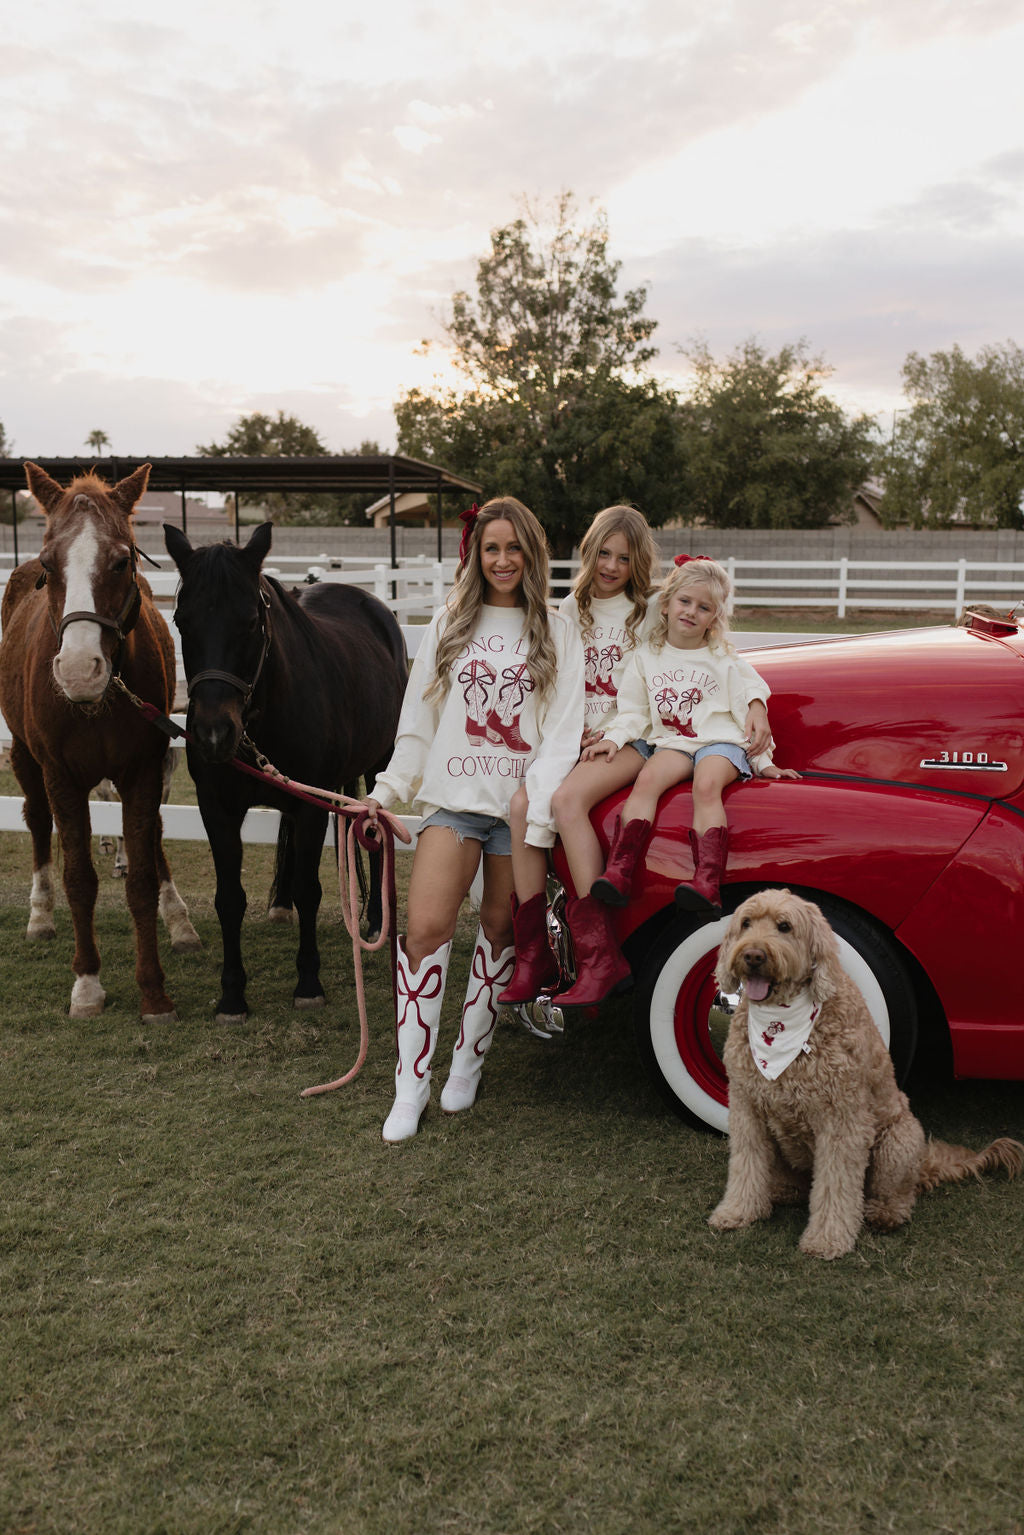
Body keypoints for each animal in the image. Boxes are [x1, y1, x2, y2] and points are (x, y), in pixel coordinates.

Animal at [0, 460, 199, 1025]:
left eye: (121, 561)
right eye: (49, 564)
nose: (77, 670)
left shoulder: (144, 769)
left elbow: (140, 876)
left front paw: (153, 992)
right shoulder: (60, 776)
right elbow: (79, 879)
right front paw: (87, 985)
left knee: (154, 836)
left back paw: (179, 921)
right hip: (24, 757)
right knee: (36, 821)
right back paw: (40, 915)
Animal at [165, 524, 408, 1019]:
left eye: (250, 622)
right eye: (182, 622)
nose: (214, 732)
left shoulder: (309, 806)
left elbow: (308, 889)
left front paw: (309, 983)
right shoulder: (216, 808)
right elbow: (229, 898)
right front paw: (232, 995)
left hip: (379, 763)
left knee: (373, 836)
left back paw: (376, 922)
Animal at [709, 890, 1019, 1258]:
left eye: (784, 926)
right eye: (746, 923)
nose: (753, 955)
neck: (782, 1024)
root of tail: (924, 1163)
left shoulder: (841, 1121)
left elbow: (836, 1185)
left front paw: (827, 1239)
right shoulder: (747, 1109)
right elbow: (746, 1166)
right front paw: (737, 1212)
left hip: (898, 1142)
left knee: (900, 1194)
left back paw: (884, 1213)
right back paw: (783, 1190)